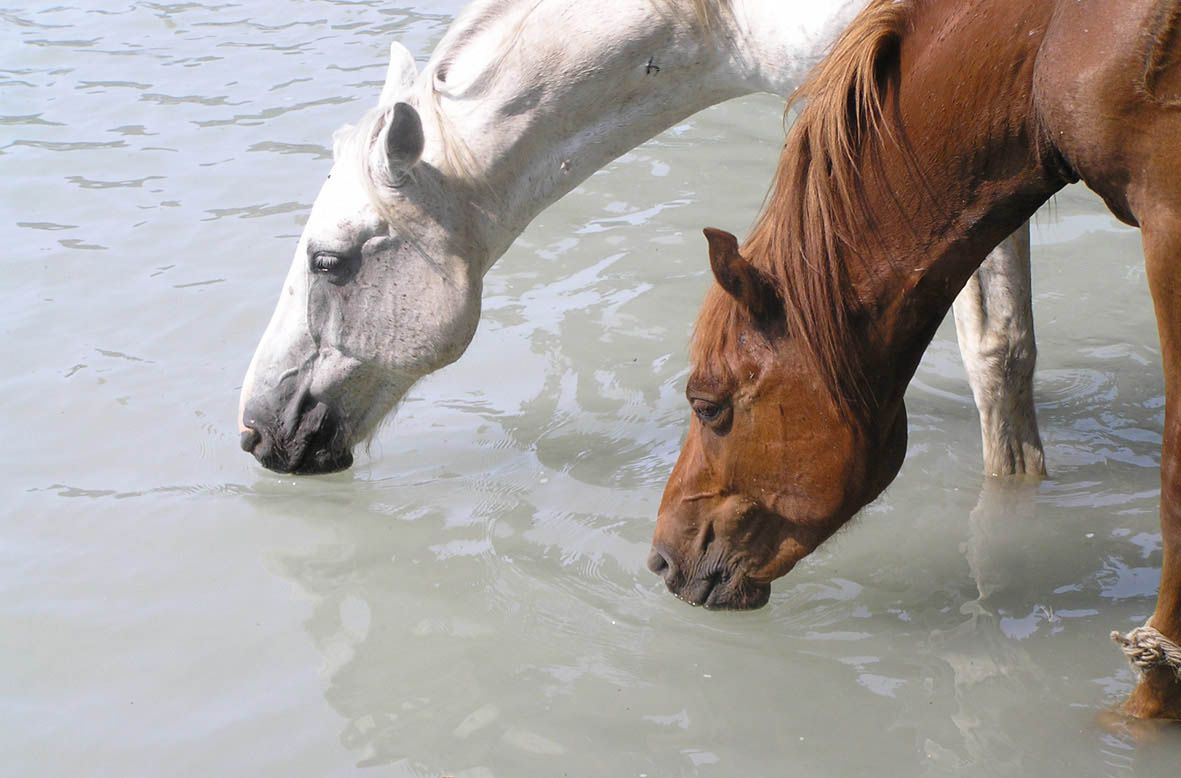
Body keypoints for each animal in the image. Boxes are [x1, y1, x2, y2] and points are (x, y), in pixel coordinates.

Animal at [647, 0, 1181, 722]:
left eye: (707, 405)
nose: (662, 560)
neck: (1052, 42)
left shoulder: (1167, 224)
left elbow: (1173, 485)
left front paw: (1147, 706)